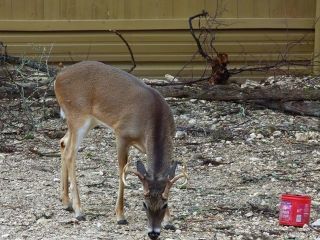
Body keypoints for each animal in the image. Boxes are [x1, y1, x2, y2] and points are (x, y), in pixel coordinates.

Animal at [53, 61, 188, 239]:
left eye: (164, 205)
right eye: (144, 204)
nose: (153, 233)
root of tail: (57, 78)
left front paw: (169, 221)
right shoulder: (122, 133)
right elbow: (122, 172)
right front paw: (120, 216)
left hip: (88, 120)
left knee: (63, 142)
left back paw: (66, 202)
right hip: (77, 115)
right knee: (70, 153)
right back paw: (79, 211)